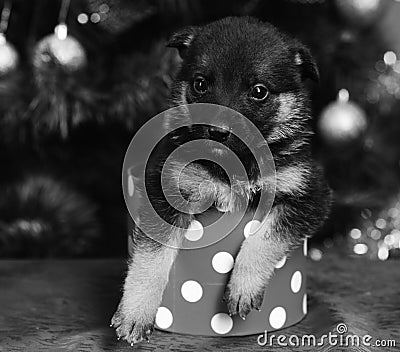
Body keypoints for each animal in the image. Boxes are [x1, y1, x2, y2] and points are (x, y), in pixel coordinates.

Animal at [112, 15, 332, 344]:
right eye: (200, 84)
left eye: (259, 91)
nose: (217, 131)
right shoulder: (165, 187)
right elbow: (151, 259)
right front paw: (135, 312)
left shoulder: (309, 194)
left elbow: (265, 238)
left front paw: (243, 288)